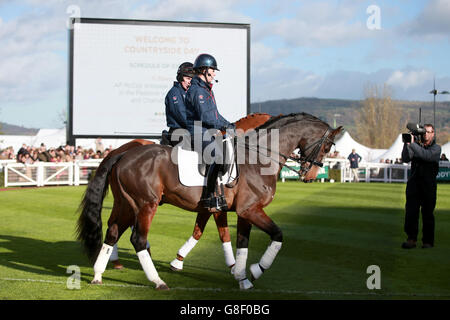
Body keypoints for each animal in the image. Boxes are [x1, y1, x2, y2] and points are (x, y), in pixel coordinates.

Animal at [77, 112, 342, 290]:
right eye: (327, 146)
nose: (310, 176)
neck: (258, 157)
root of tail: (123, 152)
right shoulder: (250, 210)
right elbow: (277, 235)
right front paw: (256, 270)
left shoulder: (242, 212)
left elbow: (238, 242)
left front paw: (241, 276)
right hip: (145, 205)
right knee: (138, 239)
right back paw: (157, 280)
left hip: (125, 205)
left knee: (112, 233)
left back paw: (98, 275)